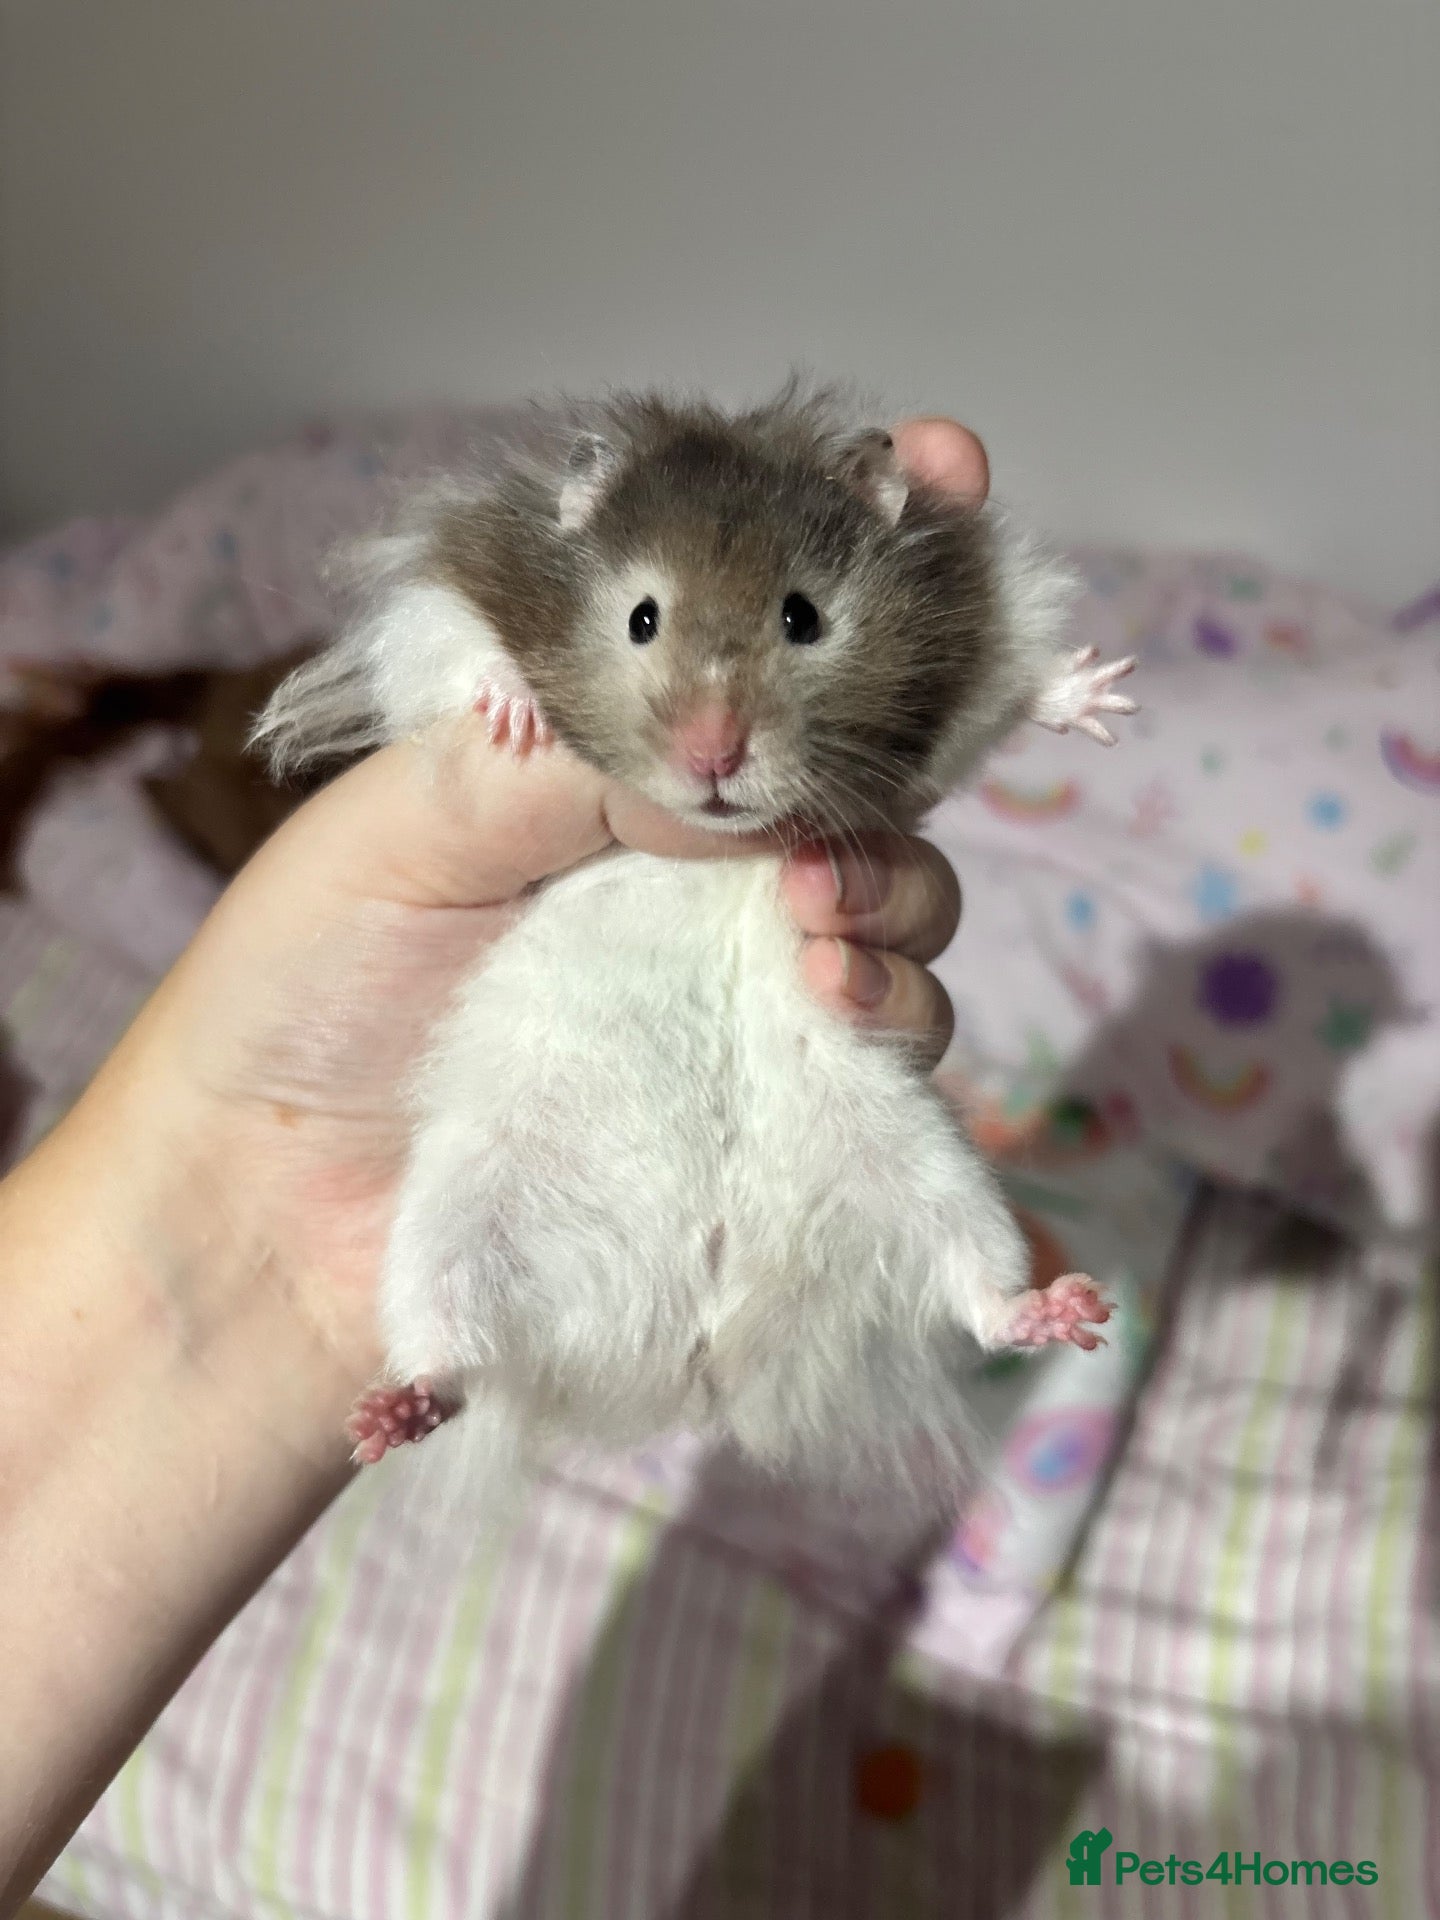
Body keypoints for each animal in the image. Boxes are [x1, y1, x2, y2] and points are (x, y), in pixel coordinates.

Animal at [256, 385, 1136, 1514]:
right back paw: (386, 1415)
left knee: (979, 1293)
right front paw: (515, 712)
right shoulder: (439, 598)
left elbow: (1015, 687)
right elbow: (459, 652)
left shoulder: (977, 643)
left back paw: (1070, 1311)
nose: (713, 755)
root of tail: (698, 1342)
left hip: (930, 1173)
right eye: (642, 617)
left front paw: (1103, 695)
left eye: (802, 616)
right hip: (455, 1225)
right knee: (453, 1358)